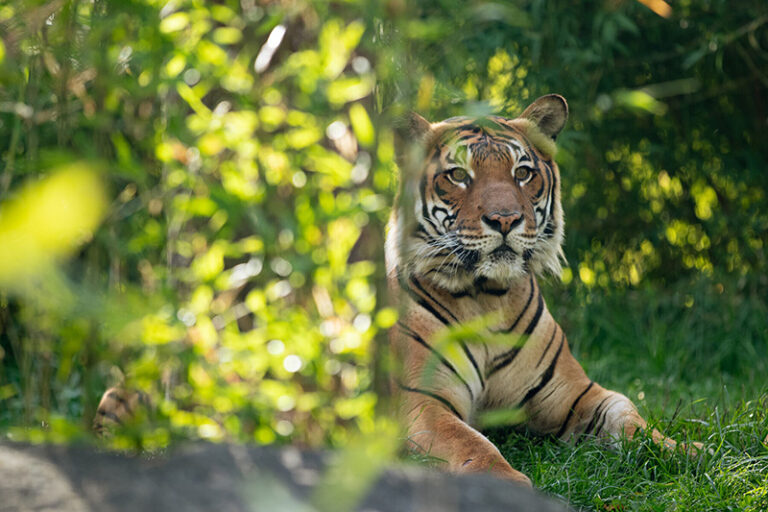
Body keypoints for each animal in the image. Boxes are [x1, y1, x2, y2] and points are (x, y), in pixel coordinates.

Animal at [386, 94, 700, 486]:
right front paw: (507, 485)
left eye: (522, 173)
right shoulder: (424, 403)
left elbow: (632, 420)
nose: (505, 219)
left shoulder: (577, 393)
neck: (487, 298)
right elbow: (471, 443)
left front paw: (687, 451)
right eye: (458, 175)